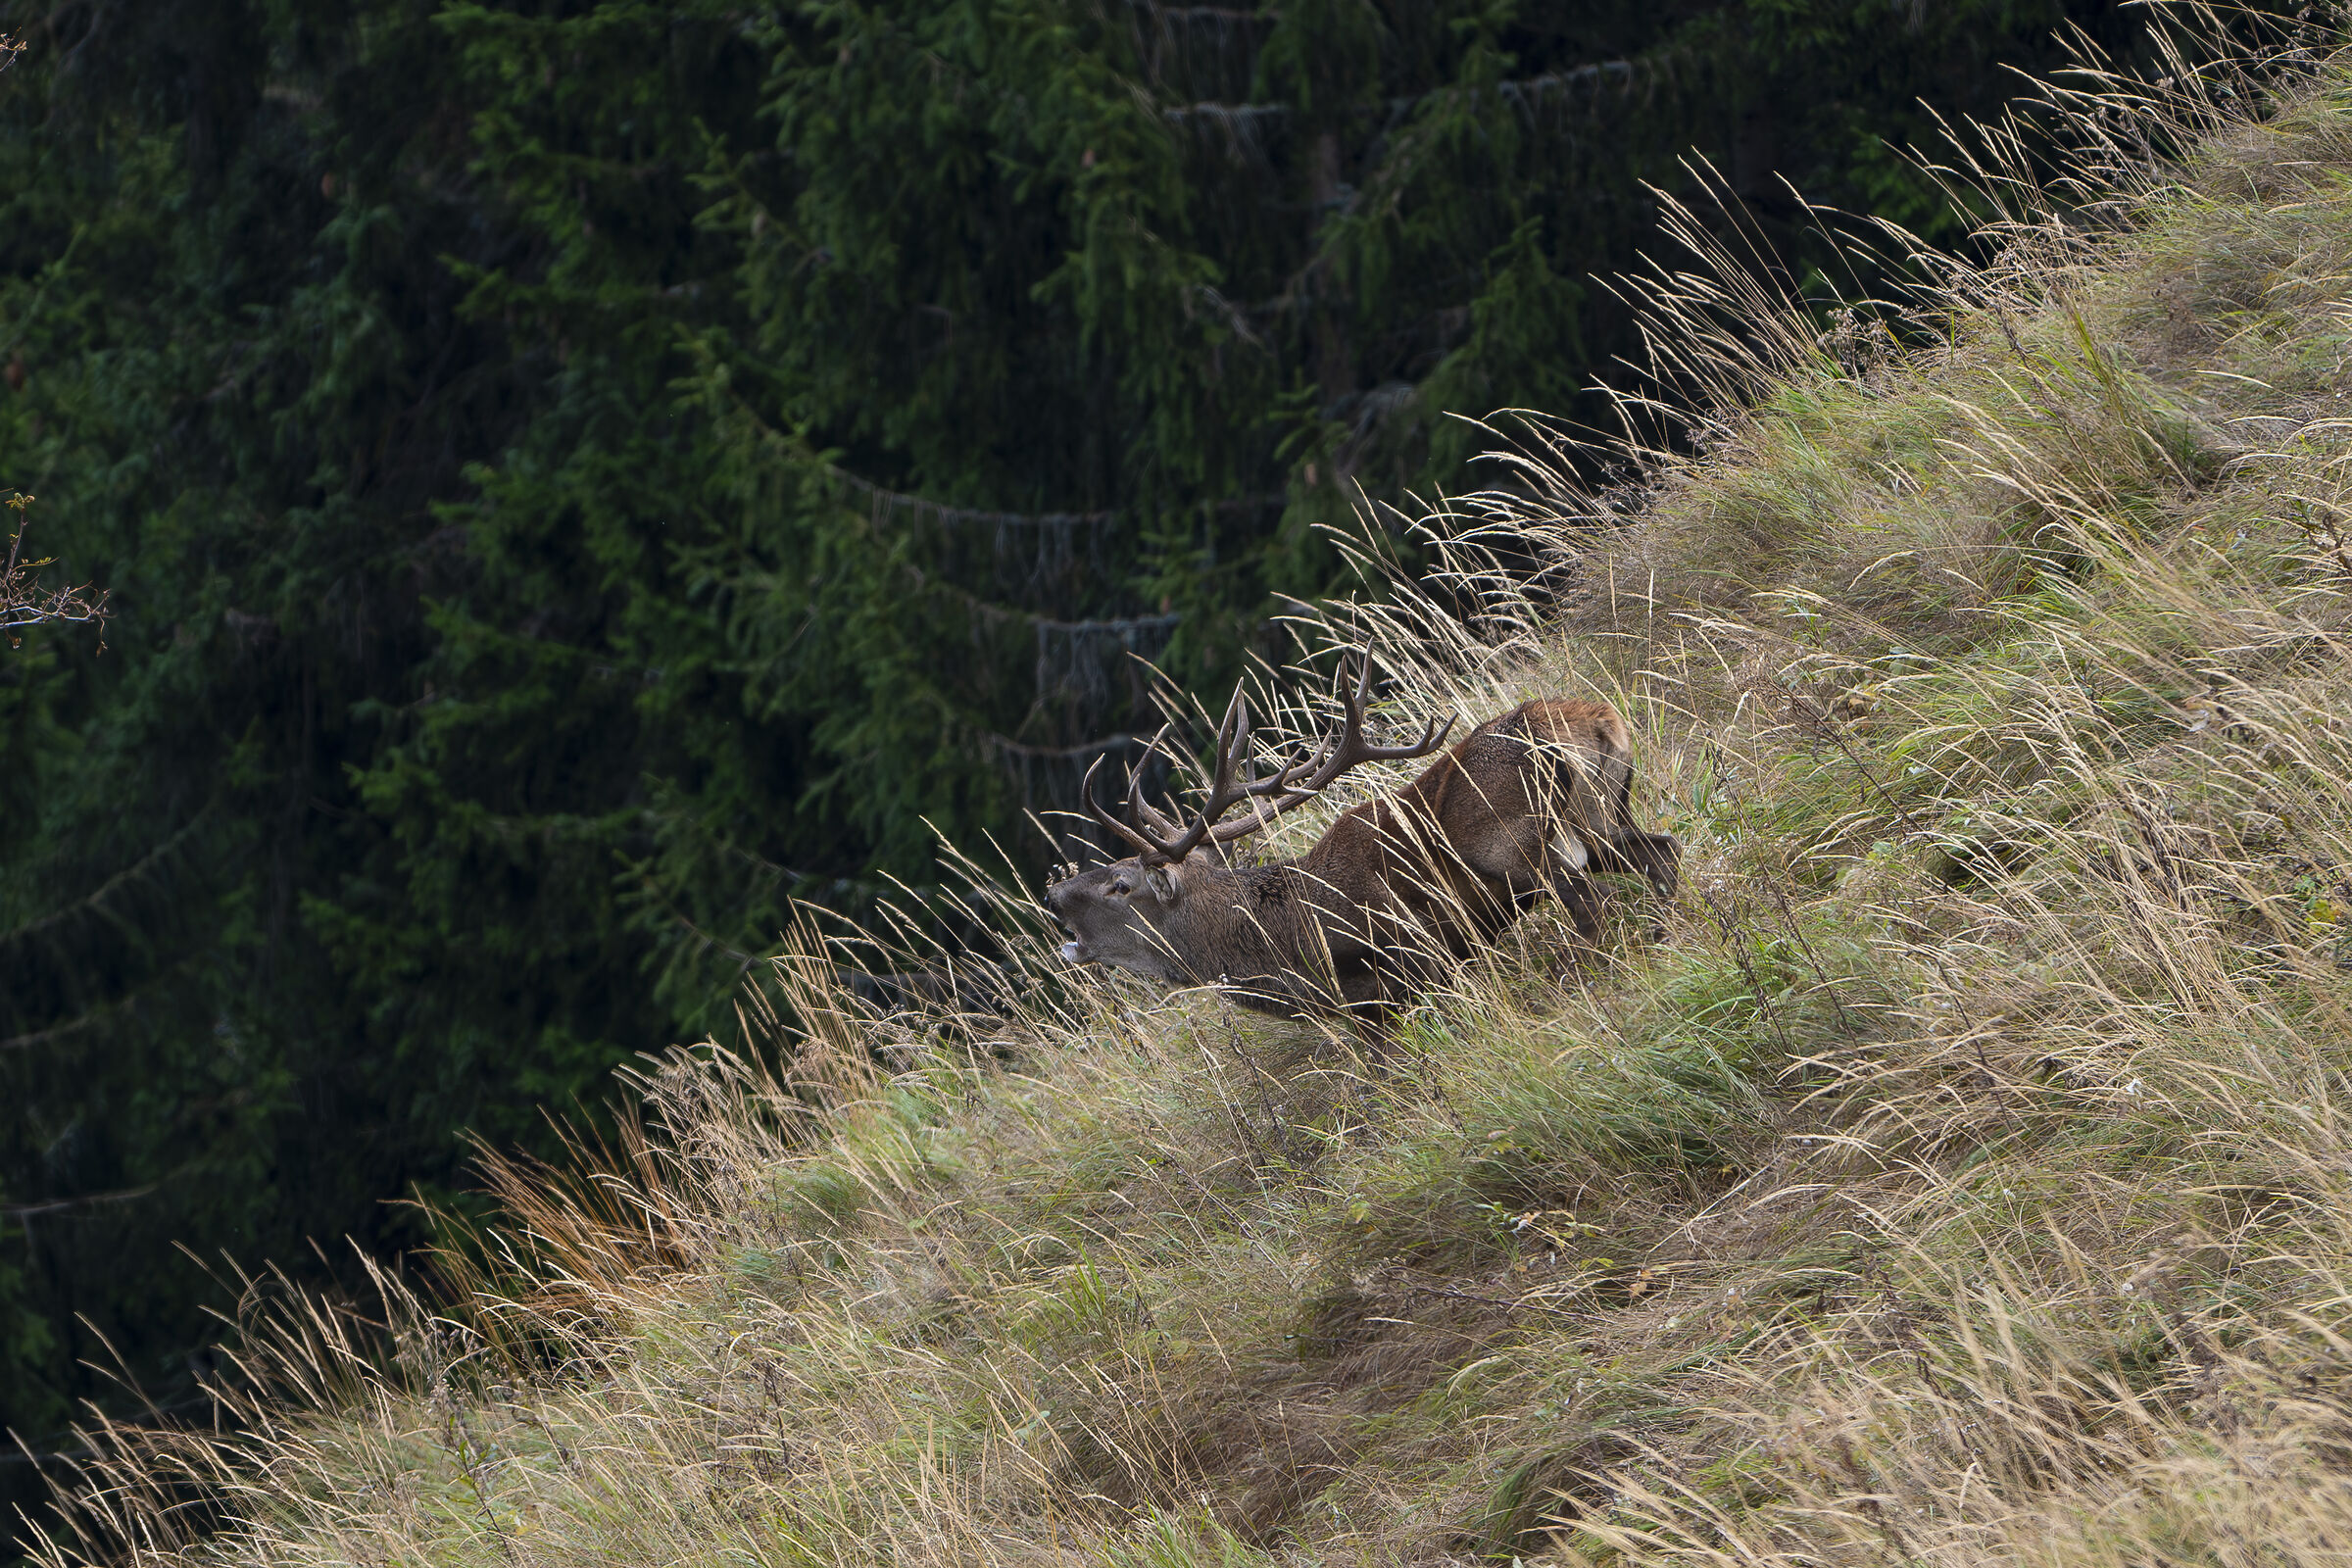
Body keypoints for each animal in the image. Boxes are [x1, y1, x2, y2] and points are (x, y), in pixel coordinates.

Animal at [1044, 651, 1679, 1042]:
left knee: (1593, 901)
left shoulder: (1401, 971)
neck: (1285, 947)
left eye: (1119, 884)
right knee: (1663, 849)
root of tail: (1599, 720)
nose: (1053, 894)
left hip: (1522, 845)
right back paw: (1668, 935)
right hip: (1605, 818)